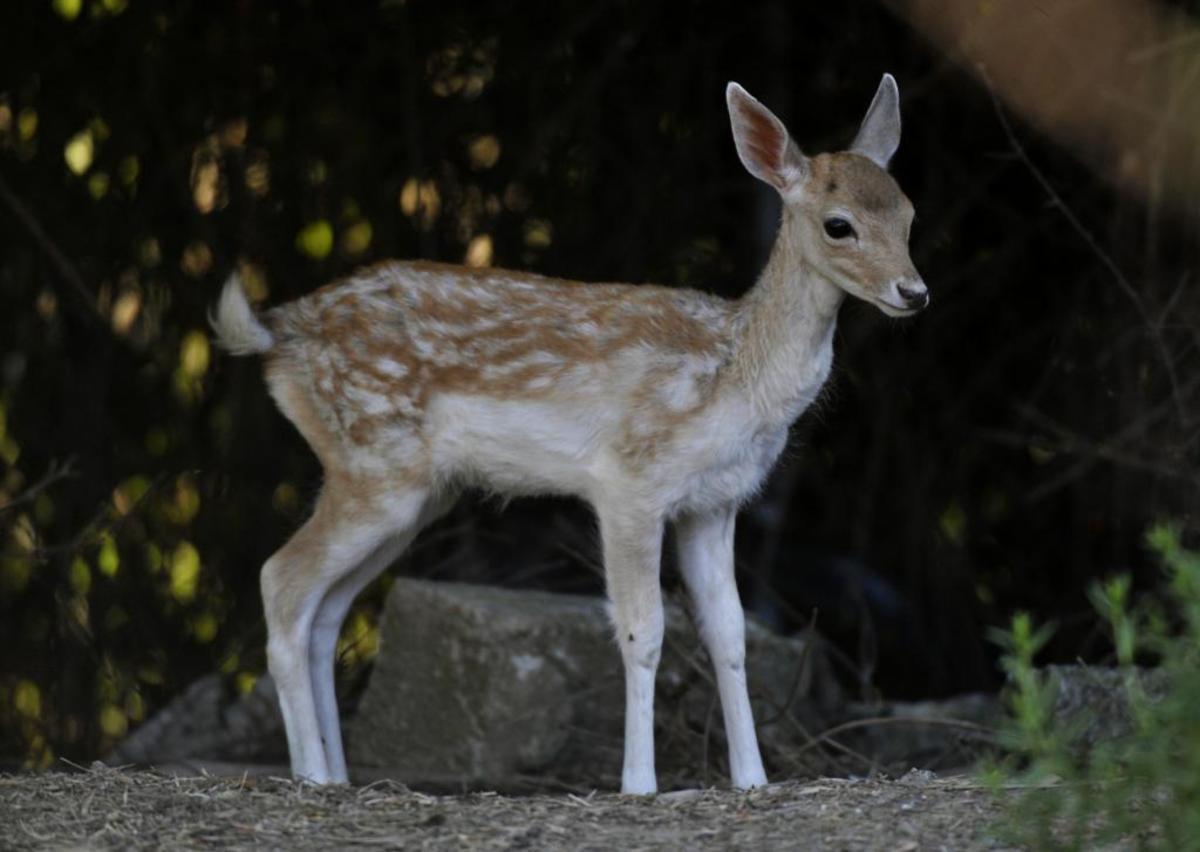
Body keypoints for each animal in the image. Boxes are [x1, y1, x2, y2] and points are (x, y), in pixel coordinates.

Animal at [213, 73, 926, 792]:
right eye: (839, 225)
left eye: (909, 214)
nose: (915, 291)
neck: (733, 377)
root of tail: (278, 335)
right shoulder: (630, 483)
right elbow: (645, 632)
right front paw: (639, 784)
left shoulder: (716, 502)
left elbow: (729, 633)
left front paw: (752, 780)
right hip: (372, 465)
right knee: (282, 581)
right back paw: (310, 774)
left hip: (414, 494)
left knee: (327, 610)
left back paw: (336, 773)